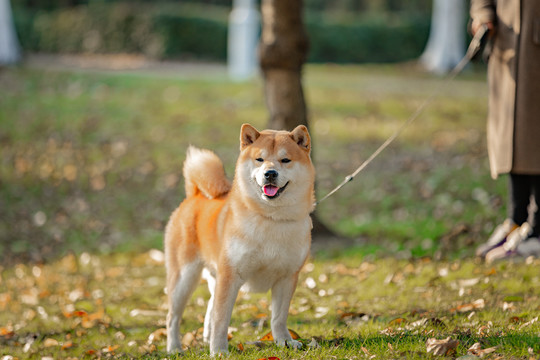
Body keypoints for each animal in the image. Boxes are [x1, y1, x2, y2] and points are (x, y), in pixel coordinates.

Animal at [166, 124, 316, 354]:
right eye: (260, 159)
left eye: (285, 160)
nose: (270, 173)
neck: (271, 218)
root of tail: (195, 195)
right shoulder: (230, 275)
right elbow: (222, 319)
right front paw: (219, 350)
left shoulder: (287, 277)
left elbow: (279, 318)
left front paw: (284, 341)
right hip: (184, 277)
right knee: (173, 317)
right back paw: (174, 347)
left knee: (209, 305)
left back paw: (205, 336)